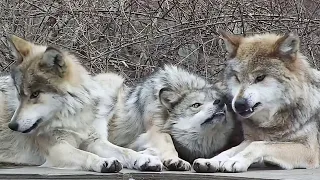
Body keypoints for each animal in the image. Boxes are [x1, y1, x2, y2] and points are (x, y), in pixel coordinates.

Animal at [0, 34, 162, 172]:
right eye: (19, 94)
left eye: (35, 94)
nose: (12, 126)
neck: (74, 115)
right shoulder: (57, 148)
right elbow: (85, 155)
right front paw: (104, 162)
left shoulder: (95, 141)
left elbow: (125, 150)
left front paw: (144, 159)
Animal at [107, 64, 242, 170]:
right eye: (196, 105)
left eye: (217, 99)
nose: (219, 102)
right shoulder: (154, 131)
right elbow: (168, 141)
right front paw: (175, 160)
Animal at [192, 31, 320, 173]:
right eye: (237, 78)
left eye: (260, 77)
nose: (238, 104)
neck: (272, 124)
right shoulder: (249, 139)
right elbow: (230, 150)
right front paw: (211, 160)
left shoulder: (309, 150)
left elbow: (259, 145)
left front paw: (236, 161)